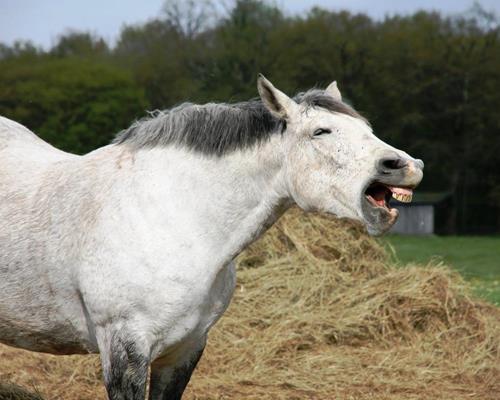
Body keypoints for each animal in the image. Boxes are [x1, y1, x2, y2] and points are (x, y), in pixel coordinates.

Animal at [0, 76, 422, 400]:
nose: (404, 166)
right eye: (321, 131)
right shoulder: (123, 350)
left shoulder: (184, 350)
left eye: (368, 130)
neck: (173, 218)